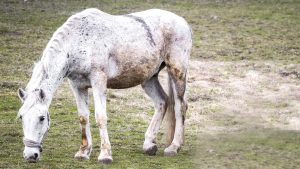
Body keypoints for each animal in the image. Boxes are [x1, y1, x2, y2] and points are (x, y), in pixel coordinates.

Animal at [16, 7, 191, 164]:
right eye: (21, 117)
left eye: (42, 118)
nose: (30, 155)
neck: (77, 42)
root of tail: (182, 22)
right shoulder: (77, 85)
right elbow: (83, 117)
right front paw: (83, 152)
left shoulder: (98, 80)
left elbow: (100, 117)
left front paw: (105, 155)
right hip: (148, 78)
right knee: (162, 102)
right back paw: (149, 145)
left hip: (177, 72)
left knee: (180, 106)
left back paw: (174, 147)